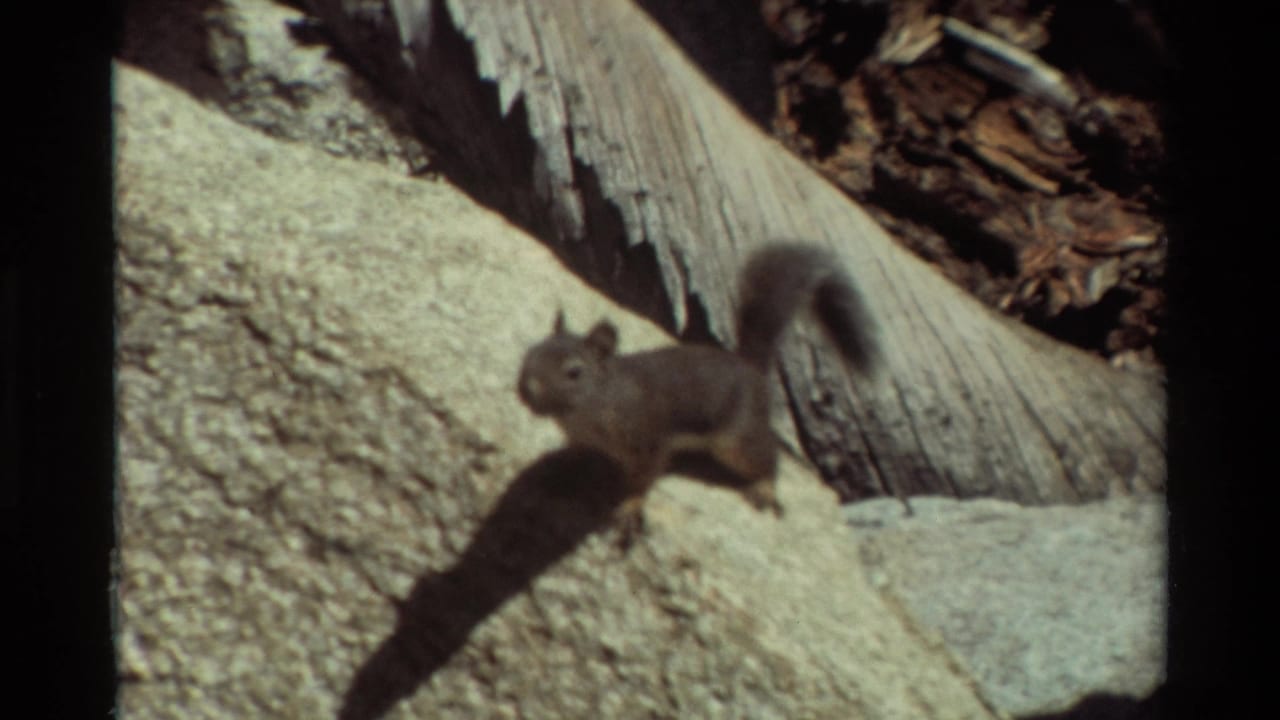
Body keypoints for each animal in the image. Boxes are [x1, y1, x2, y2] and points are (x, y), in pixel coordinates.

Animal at [517, 243, 877, 540]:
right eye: (531, 352)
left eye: (574, 372)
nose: (527, 389)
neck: (590, 409)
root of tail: (750, 369)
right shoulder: (582, 437)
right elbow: (576, 455)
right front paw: (559, 467)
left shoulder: (648, 439)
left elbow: (643, 478)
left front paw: (631, 507)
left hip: (735, 439)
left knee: (767, 456)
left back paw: (764, 488)